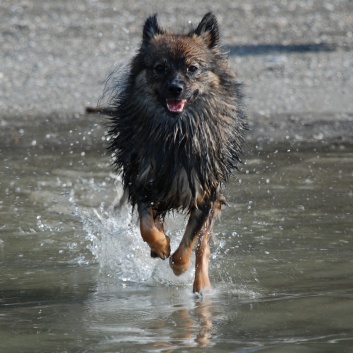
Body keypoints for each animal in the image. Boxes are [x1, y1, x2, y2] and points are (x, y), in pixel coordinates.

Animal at [100, 12, 246, 292]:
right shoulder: (142, 181)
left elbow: (189, 244)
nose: (175, 88)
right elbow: (147, 226)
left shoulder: (205, 196)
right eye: (160, 68)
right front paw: (160, 245)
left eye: (192, 68)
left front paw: (179, 265)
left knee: (203, 246)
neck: (176, 134)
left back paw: (201, 286)